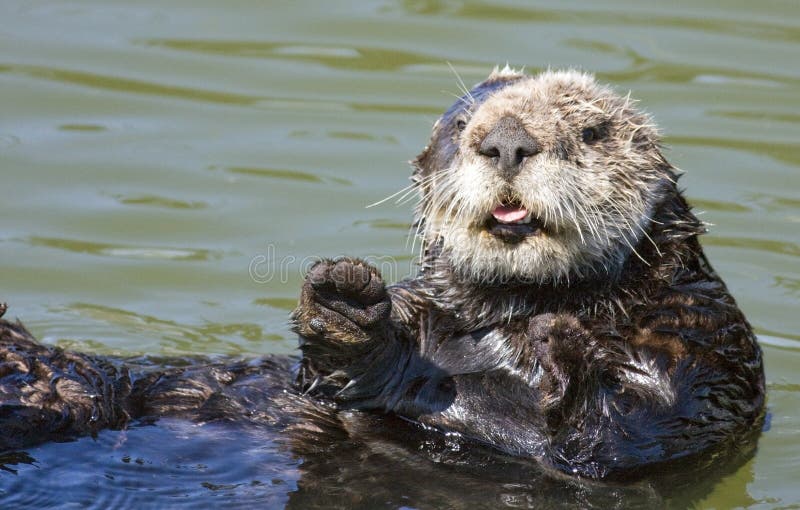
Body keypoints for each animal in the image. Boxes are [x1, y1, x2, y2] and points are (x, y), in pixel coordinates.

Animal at [0, 68, 764, 482]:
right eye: (462, 125)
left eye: (594, 131)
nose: (505, 141)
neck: (515, 310)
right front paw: (343, 301)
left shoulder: (709, 353)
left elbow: (619, 436)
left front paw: (562, 344)